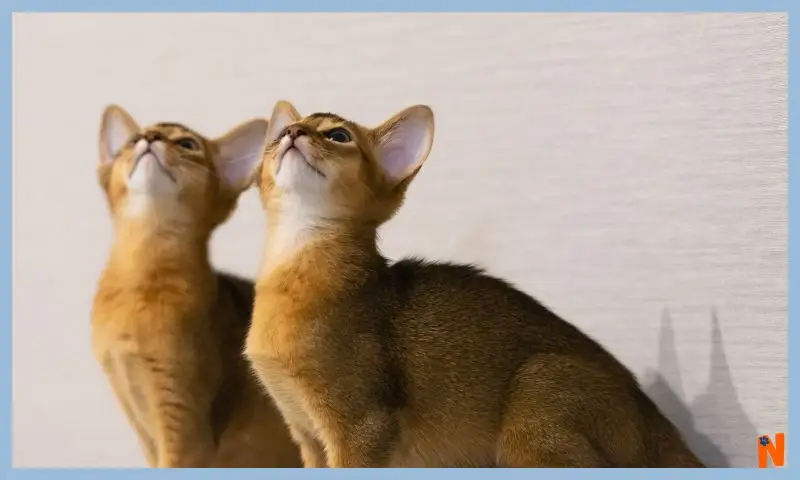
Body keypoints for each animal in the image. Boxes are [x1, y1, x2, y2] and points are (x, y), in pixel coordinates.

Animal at [90, 105, 302, 468]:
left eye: (187, 144)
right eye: (133, 140)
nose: (149, 137)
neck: (138, 278)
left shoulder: (183, 423)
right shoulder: (142, 423)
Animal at [238, 100, 708, 468]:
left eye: (337, 135)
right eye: (280, 133)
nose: (291, 132)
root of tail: (651, 417)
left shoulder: (362, 428)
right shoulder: (307, 435)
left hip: (537, 405)